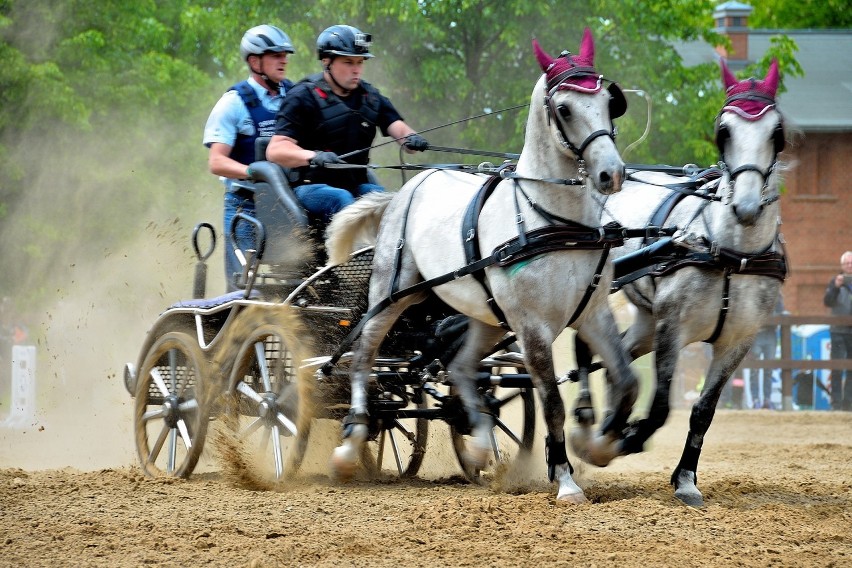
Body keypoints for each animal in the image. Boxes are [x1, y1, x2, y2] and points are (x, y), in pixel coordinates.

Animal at [322, 28, 636, 504]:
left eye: (607, 100)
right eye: (564, 108)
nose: (610, 174)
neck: (555, 220)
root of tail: (407, 189)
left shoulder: (594, 314)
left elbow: (626, 381)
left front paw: (598, 447)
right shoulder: (531, 327)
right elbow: (552, 401)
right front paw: (565, 480)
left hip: (484, 317)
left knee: (462, 369)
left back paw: (481, 446)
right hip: (390, 294)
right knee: (362, 357)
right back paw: (351, 440)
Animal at [588, 58, 788, 506]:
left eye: (777, 134)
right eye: (723, 131)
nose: (746, 206)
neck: (729, 252)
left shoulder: (738, 342)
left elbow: (703, 411)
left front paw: (685, 479)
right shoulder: (672, 326)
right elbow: (662, 405)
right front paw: (628, 438)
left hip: (644, 320)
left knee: (615, 360)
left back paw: (605, 424)